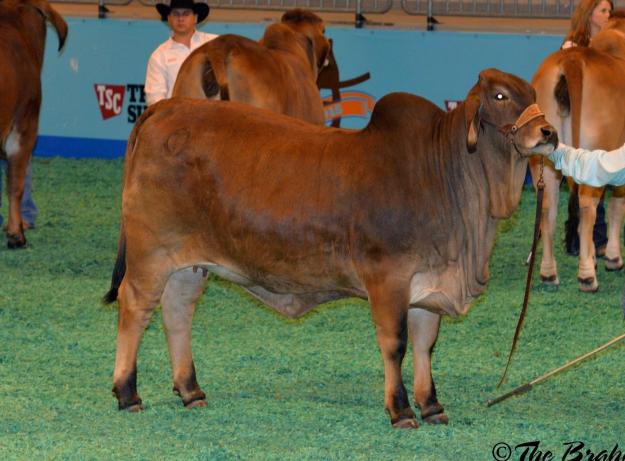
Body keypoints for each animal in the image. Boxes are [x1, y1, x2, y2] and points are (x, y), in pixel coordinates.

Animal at [104, 68, 557, 428]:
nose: (549, 133)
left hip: (188, 265)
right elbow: (395, 343)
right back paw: (127, 393)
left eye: (533, 94)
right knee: (135, 308)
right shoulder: (387, 279)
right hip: (151, 253)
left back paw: (190, 390)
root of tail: (167, 108)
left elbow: (425, 343)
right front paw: (401, 410)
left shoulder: (427, 287)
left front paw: (431, 405)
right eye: (500, 96)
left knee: (177, 313)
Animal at [530, 12, 625, 292]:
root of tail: (570, 60)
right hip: (597, 150)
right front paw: (612, 257)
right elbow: (617, 205)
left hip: (542, 157)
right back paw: (587, 276)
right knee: (587, 207)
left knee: (548, 207)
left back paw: (548, 273)